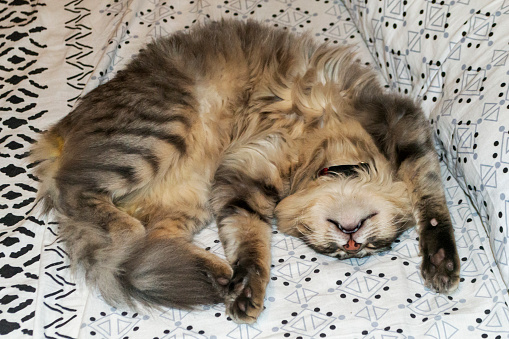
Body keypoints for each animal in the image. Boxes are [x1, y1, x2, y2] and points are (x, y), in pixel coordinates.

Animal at [31, 19, 460, 326]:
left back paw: (215, 275)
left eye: (373, 247)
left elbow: (247, 239)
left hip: (189, 197)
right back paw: (130, 232)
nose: (352, 245)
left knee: (155, 244)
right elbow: (432, 201)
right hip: (159, 129)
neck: (321, 158)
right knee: (76, 193)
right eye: (342, 250)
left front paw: (243, 289)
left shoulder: (237, 180)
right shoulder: (400, 119)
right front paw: (442, 260)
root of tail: (58, 133)